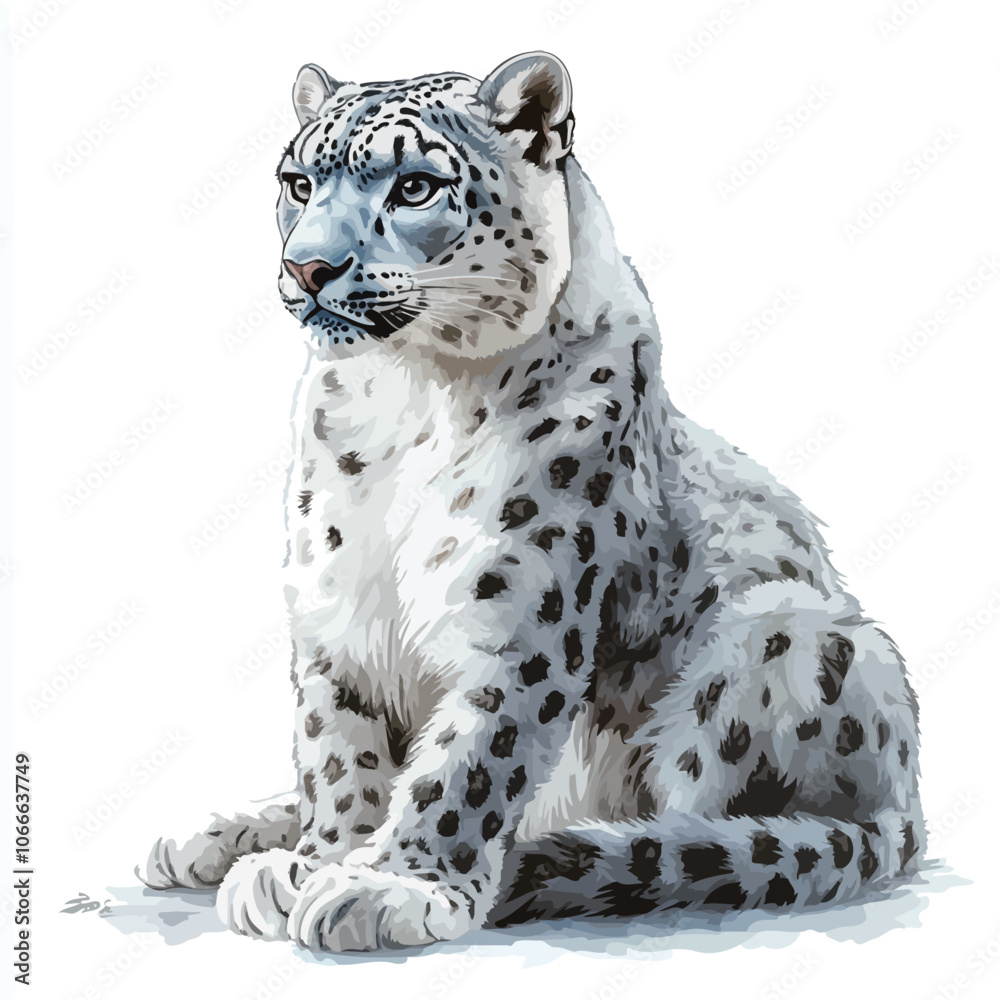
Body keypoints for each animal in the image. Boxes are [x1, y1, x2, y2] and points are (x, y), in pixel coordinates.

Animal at [139, 51, 924, 952]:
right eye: (298, 183)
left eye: (415, 186)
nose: (308, 268)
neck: (406, 397)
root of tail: (908, 802)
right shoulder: (335, 611)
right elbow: (337, 752)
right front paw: (319, 859)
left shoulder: (521, 613)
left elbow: (469, 761)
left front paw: (390, 886)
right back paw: (215, 835)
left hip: (796, 634)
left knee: (721, 819)